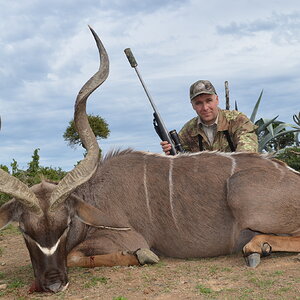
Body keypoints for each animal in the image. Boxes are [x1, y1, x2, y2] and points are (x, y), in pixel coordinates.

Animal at [0, 27, 300, 292]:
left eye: (65, 226)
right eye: (24, 230)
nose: (53, 284)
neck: (93, 196)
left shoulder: (127, 236)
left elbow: (76, 255)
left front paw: (144, 256)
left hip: (242, 195)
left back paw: (256, 247)